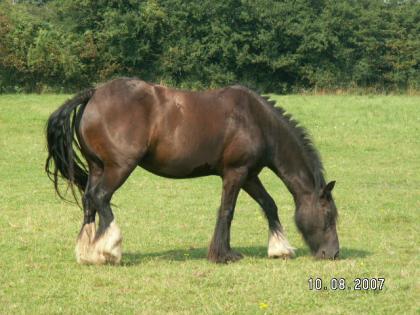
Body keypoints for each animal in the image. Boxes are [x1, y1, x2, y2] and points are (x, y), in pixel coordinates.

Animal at [46, 78, 340, 266]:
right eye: (328, 216)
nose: (333, 254)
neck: (257, 120)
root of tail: (93, 94)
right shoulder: (235, 173)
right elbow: (227, 211)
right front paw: (223, 255)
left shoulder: (249, 175)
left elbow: (269, 205)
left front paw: (280, 249)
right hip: (119, 168)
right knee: (101, 198)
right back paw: (110, 249)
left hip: (98, 168)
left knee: (89, 202)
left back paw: (89, 253)